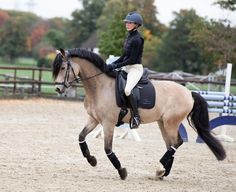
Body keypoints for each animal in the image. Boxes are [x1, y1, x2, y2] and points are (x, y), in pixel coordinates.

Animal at [52, 48, 226, 180]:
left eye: (63, 68)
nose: (58, 89)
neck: (99, 86)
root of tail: (189, 93)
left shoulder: (108, 123)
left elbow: (108, 149)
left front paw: (122, 171)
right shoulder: (94, 119)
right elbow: (81, 137)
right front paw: (91, 160)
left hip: (171, 123)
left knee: (176, 143)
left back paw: (159, 168)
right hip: (163, 123)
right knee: (171, 145)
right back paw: (162, 172)